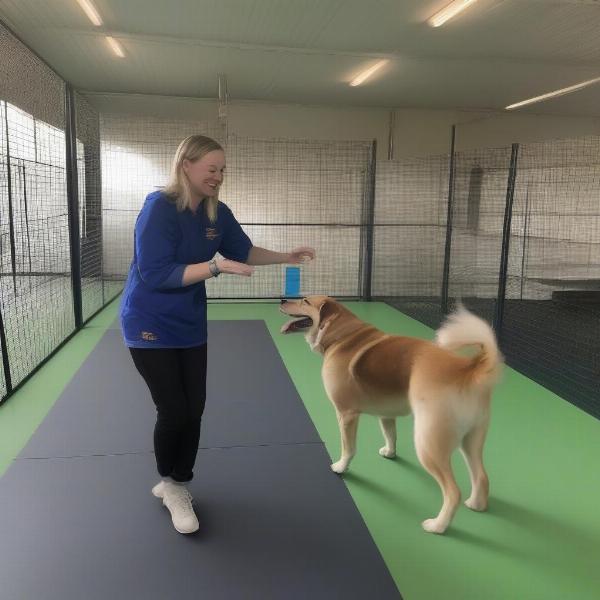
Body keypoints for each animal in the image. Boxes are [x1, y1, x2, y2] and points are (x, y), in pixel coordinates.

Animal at [280, 296, 502, 536]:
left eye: (304, 301)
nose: (282, 299)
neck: (342, 337)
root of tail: (468, 369)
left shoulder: (346, 414)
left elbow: (348, 448)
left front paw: (340, 467)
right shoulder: (386, 414)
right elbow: (390, 435)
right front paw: (390, 453)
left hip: (428, 445)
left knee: (453, 492)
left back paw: (437, 526)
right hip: (470, 441)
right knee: (481, 477)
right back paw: (476, 505)